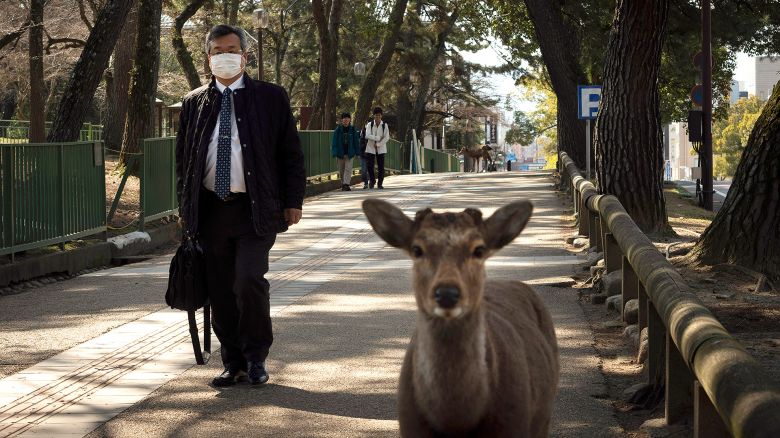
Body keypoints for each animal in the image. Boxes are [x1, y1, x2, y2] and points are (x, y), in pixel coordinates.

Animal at [362, 199, 556, 438]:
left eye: (479, 249)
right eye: (417, 249)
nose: (447, 293)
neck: (455, 422)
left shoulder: (515, 423)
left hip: (544, 417)